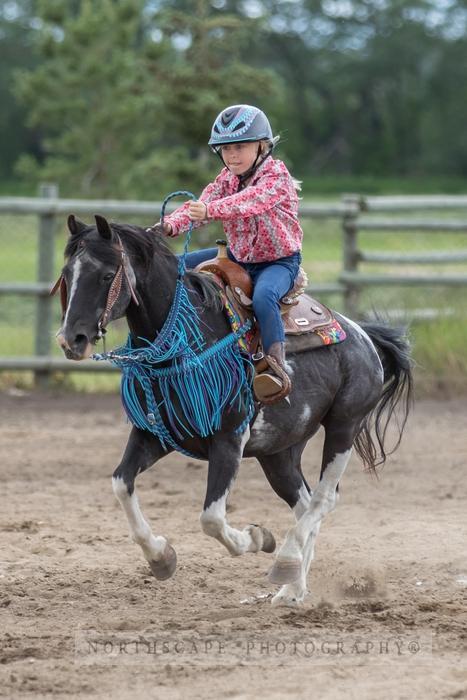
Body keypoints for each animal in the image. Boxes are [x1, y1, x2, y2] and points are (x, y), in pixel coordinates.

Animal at [55, 213, 414, 608]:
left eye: (107, 275)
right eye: (67, 273)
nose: (72, 340)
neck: (187, 340)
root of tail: (361, 335)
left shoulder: (228, 439)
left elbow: (211, 517)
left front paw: (257, 538)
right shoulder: (155, 434)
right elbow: (121, 484)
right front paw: (161, 557)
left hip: (343, 426)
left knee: (323, 498)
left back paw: (285, 562)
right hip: (278, 452)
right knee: (304, 503)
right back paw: (292, 588)